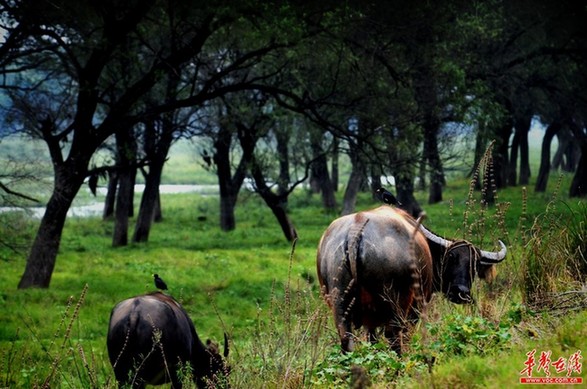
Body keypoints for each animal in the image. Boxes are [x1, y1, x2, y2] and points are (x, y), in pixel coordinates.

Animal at [316, 206, 506, 352]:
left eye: (474, 265)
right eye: (451, 258)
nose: (461, 291)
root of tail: (356, 227)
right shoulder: (416, 307)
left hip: (340, 305)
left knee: (346, 339)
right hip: (396, 305)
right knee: (394, 337)